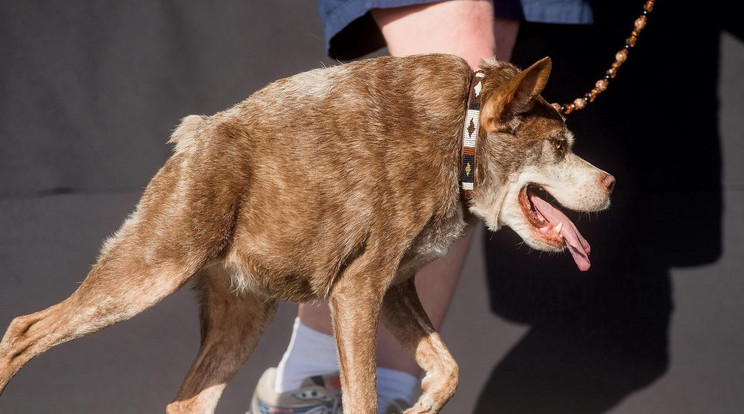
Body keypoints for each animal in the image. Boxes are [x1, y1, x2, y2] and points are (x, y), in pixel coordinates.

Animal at [0, 53, 612, 412]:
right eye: (560, 147)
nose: (610, 182)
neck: (458, 138)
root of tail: (195, 137)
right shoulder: (356, 291)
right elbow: (364, 397)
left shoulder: (393, 289)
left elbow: (448, 370)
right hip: (149, 272)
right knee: (23, 331)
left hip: (242, 319)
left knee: (185, 403)